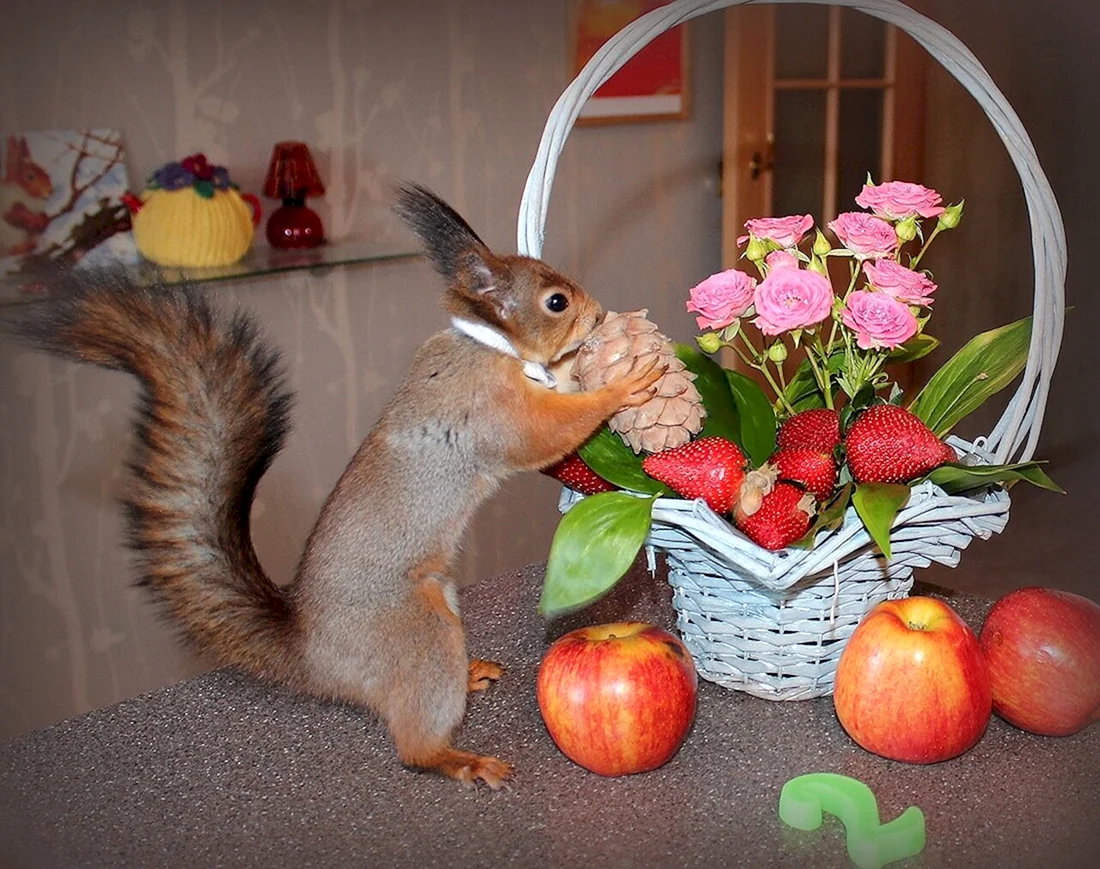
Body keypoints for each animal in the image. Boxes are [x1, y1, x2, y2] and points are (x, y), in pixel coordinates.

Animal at [7, 183, 662, 789]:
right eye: (556, 301)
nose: (598, 315)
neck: (487, 344)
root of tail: (315, 658)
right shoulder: (489, 410)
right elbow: (545, 432)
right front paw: (623, 383)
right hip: (419, 628)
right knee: (413, 747)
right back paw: (460, 758)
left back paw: (470, 675)